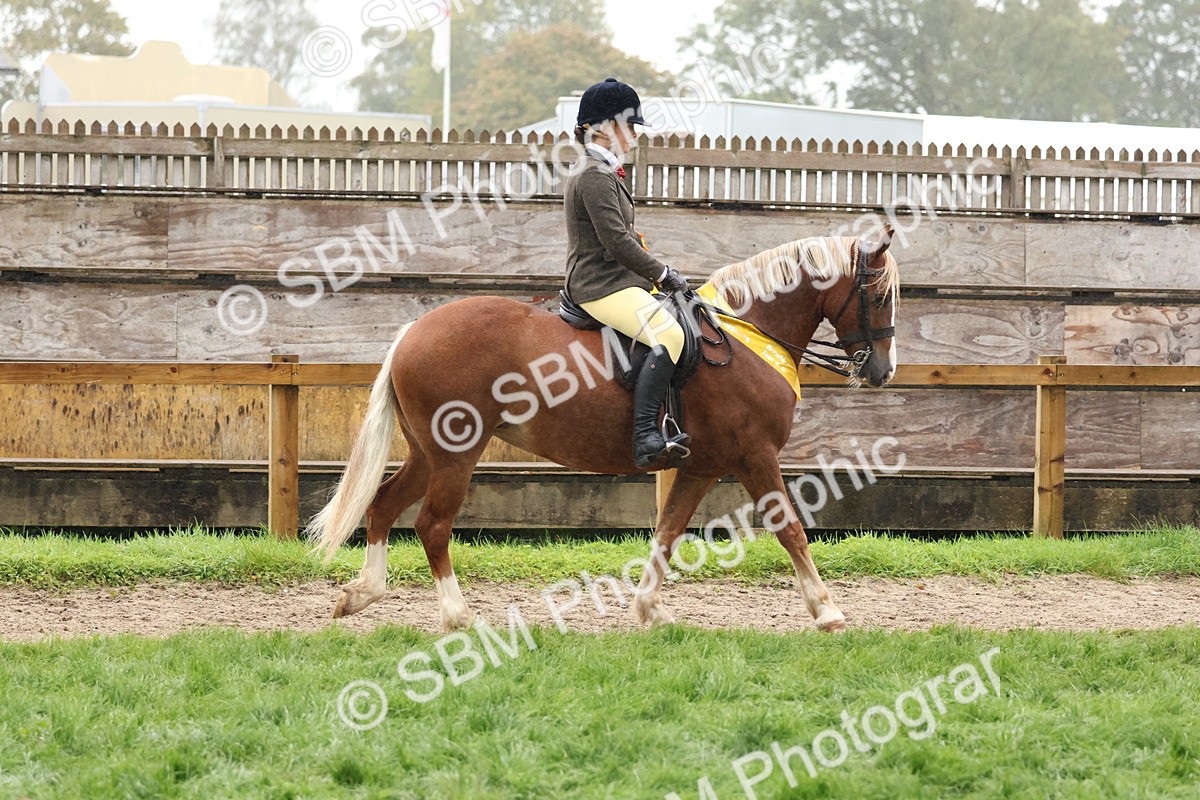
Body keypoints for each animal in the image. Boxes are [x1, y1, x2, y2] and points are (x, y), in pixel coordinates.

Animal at [307, 227, 899, 632]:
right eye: (879, 296)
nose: (881, 371)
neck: (747, 335)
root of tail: (414, 329)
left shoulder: (701, 467)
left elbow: (667, 533)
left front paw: (649, 611)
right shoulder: (756, 457)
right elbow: (791, 529)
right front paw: (827, 611)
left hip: (428, 453)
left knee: (383, 505)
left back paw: (360, 595)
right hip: (456, 456)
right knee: (432, 525)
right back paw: (458, 616)